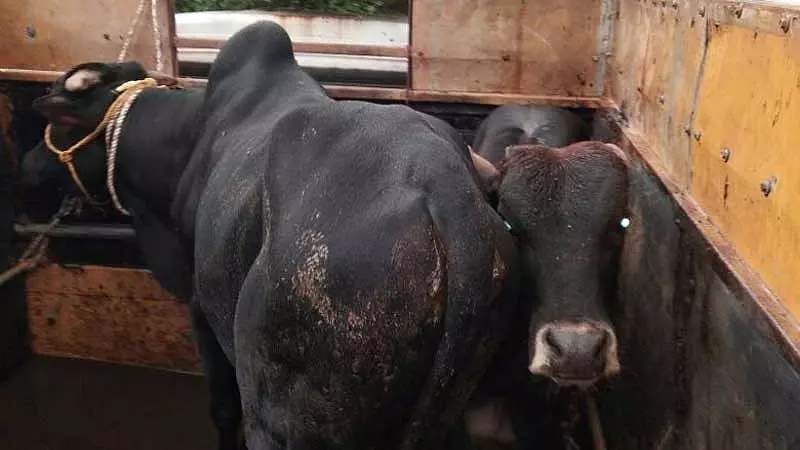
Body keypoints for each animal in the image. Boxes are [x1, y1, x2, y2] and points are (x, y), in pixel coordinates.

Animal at [21, 20, 521, 450]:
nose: (27, 164)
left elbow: (223, 410)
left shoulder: (201, 307)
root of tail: (446, 191)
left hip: (280, 410)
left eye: (60, 125)